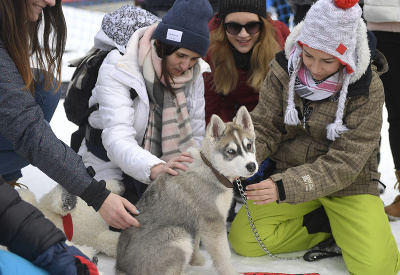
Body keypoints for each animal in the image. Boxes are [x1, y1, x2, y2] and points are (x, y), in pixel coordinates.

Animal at [115, 106, 260, 275]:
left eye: (249, 146)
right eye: (231, 151)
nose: (252, 166)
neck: (212, 169)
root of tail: (121, 268)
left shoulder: (199, 221)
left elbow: (196, 242)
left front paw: (196, 261)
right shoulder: (212, 222)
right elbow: (223, 255)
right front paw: (230, 272)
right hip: (179, 237)